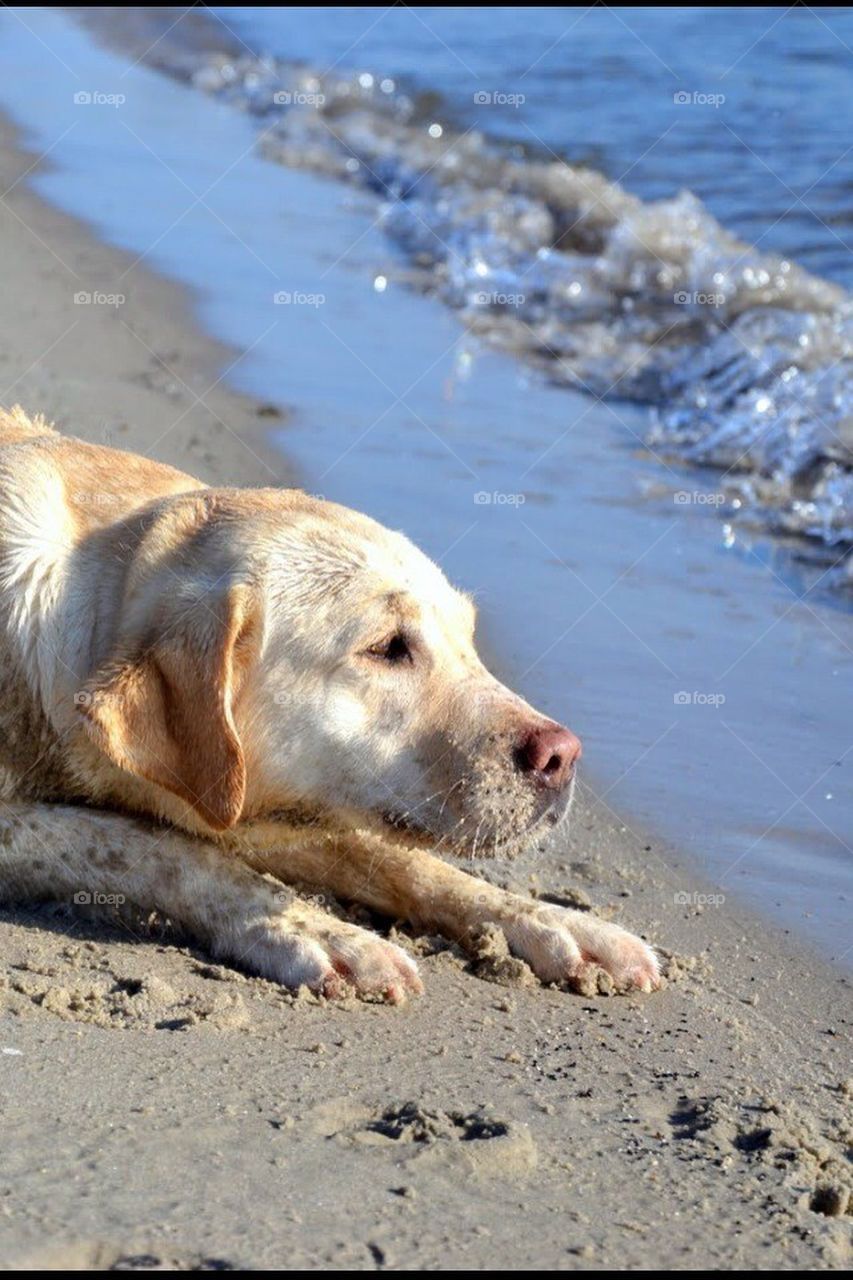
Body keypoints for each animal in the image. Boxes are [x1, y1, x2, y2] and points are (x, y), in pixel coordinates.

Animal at [0, 404, 655, 1003]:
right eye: (388, 647)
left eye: (468, 639)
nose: (563, 755)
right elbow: (154, 847)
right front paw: (322, 933)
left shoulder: (302, 804)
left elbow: (405, 860)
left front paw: (555, 922)